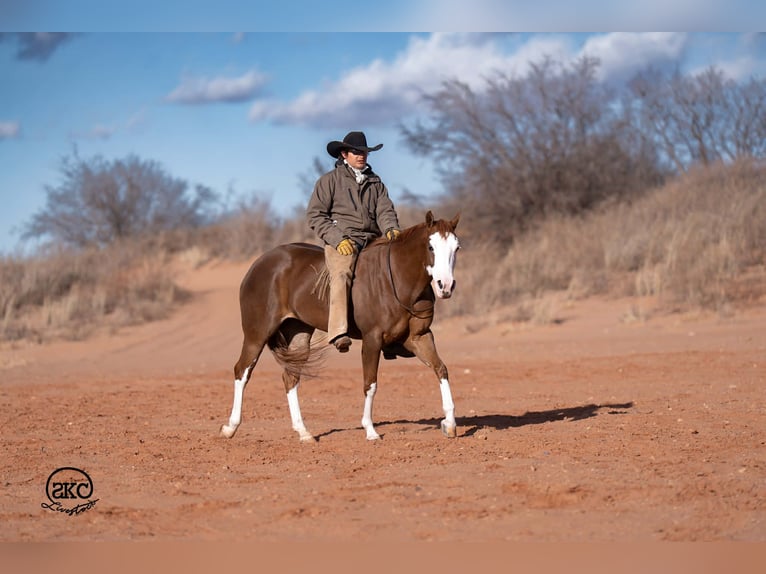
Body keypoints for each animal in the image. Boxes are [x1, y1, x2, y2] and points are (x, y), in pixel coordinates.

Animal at [220, 211, 461, 442]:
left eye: (456, 248)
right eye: (431, 246)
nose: (445, 286)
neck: (397, 280)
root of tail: (259, 264)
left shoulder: (420, 337)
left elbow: (441, 369)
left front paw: (449, 424)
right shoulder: (372, 340)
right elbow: (370, 384)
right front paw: (370, 430)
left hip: (298, 336)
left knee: (290, 378)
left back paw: (304, 433)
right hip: (256, 335)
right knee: (242, 371)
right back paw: (230, 428)